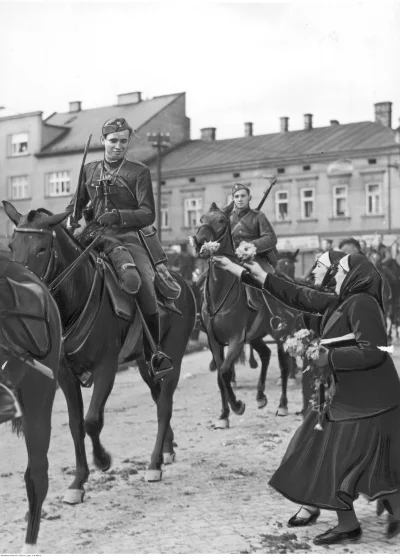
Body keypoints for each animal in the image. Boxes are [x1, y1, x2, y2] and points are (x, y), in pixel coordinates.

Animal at [3, 201, 197, 504]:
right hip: (146, 363)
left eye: (42, 248)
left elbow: (93, 420)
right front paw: (77, 482)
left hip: (173, 357)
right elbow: (75, 424)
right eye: (12, 245)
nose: (20, 295)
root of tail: (182, 282)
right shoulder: (65, 374)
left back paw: (154, 464)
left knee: (164, 405)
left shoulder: (106, 367)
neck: (76, 297)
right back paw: (167, 448)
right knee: (158, 399)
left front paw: (102, 460)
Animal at [192, 204, 298, 426]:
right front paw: (224, 415)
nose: (199, 240)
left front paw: (237, 406)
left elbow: (224, 371)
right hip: (255, 335)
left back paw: (282, 405)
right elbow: (220, 375)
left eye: (222, 220)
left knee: (284, 365)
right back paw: (260, 395)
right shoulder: (215, 341)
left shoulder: (236, 339)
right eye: (201, 218)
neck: (220, 291)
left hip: (281, 333)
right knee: (265, 355)